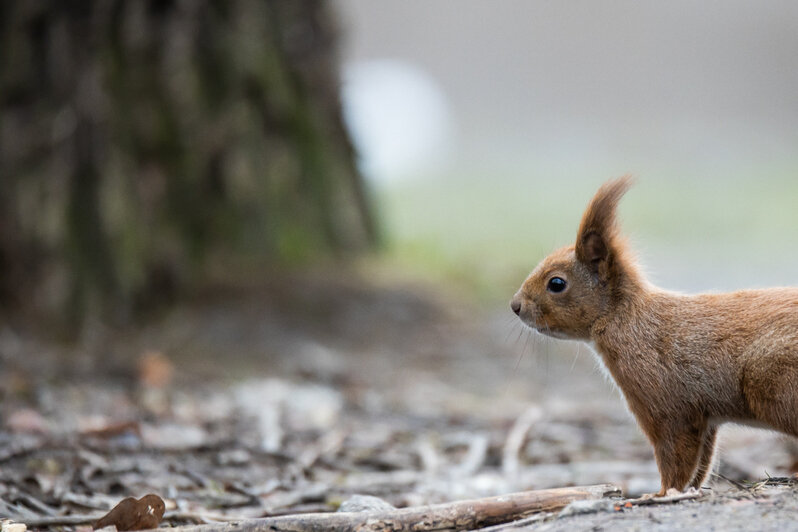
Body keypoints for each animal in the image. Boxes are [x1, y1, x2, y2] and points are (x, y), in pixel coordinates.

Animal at [512, 177, 798, 496]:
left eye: (557, 283)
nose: (515, 306)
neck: (627, 320)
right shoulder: (705, 418)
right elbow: (702, 462)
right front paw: (687, 491)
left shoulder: (664, 404)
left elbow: (675, 455)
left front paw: (662, 493)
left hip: (772, 383)